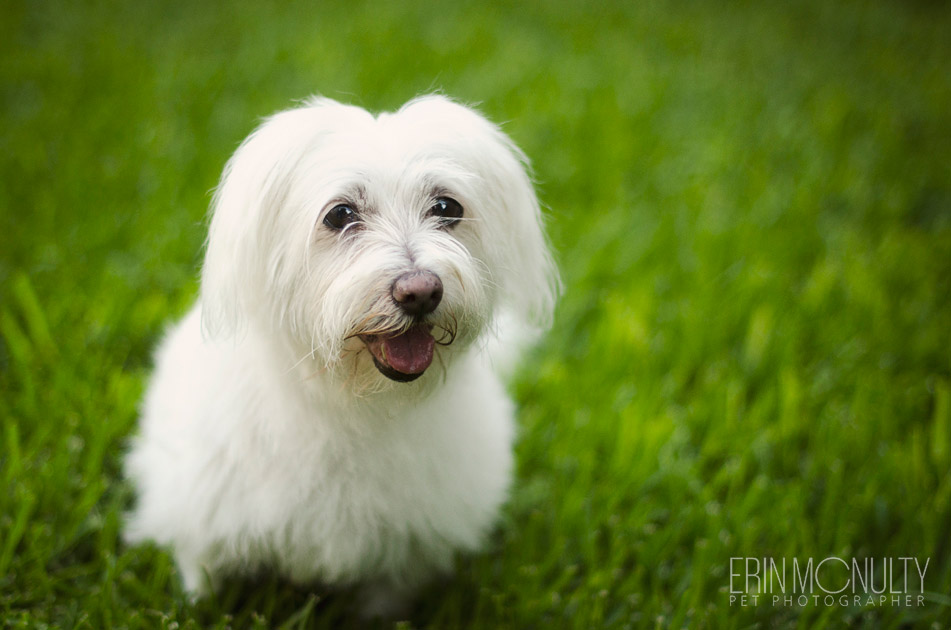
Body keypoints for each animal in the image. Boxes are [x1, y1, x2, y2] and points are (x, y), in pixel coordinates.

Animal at [123, 96, 560, 620]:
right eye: (340, 214)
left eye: (446, 207)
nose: (420, 291)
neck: (350, 403)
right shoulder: (204, 520)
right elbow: (204, 583)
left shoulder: (404, 555)